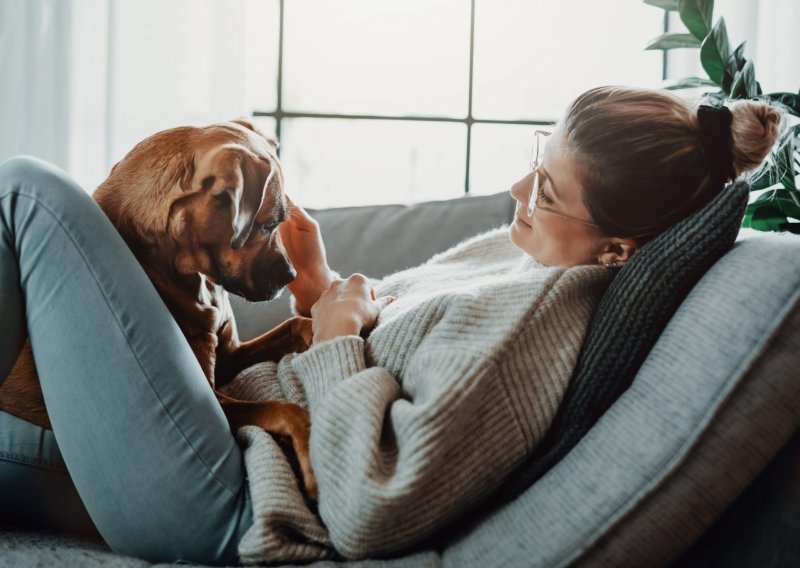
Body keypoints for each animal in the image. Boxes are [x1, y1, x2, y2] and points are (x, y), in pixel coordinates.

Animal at [0, 118, 318, 496]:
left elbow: (292, 326)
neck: (190, 273)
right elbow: (284, 409)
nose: (291, 274)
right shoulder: (214, 402)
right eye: (268, 225)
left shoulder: (229, 356)